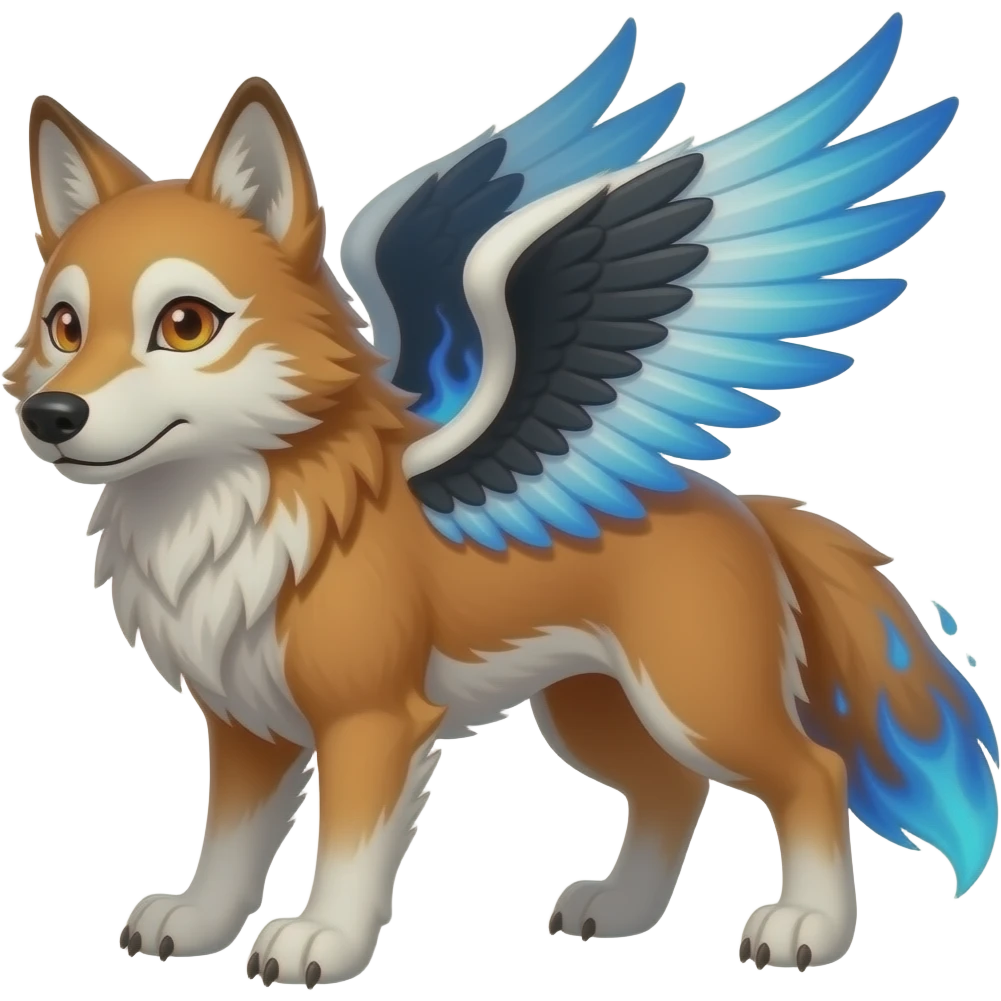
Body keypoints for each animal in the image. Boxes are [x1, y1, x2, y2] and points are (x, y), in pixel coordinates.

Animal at [8, 12, 996, 988]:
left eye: (185, 324)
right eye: (64, 327)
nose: (51, 415)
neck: (227, 510)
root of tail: (744, 508)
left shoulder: (371, 721)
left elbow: (347, 850)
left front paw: (323, 938)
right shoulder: (246, 722)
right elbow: (228, 844)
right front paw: (201, 921)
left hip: (698, 702)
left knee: (812, 771)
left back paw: (806, 927)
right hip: (593, 710)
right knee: (672, 789)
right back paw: (622, 909)